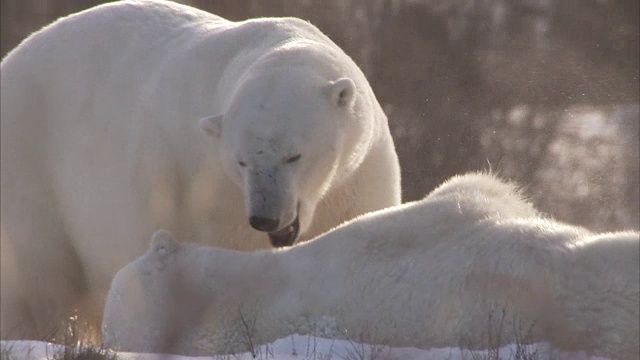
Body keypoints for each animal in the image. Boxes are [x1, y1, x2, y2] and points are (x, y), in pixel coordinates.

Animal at [0, 0, 400, 338]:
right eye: (241, 161)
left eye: (294, 156)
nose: (265, 218)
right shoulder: (211, 190)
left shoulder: (359, 174)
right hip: (29, 162)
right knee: (39, 276)